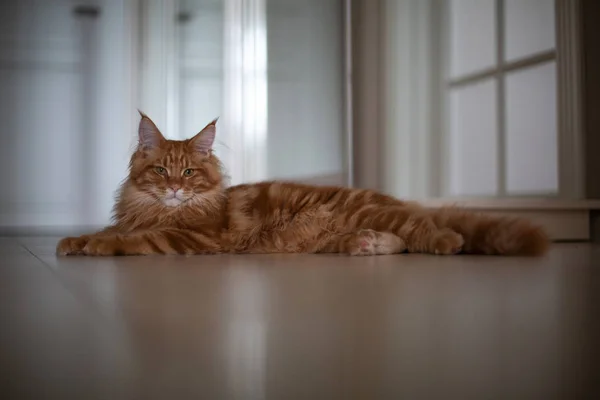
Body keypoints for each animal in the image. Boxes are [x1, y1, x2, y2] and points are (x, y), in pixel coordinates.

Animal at [55, 112, 548, 256]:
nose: (175, 187)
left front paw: (96, 246)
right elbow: (111, 229)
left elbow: (136, 240)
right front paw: (72, 241)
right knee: (399, 240)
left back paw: (448, 241)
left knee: (423, 231)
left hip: (379, 213)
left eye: (189, 173)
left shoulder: (196, 236)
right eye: (161, 171)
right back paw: (366, 244)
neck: (159, 208)